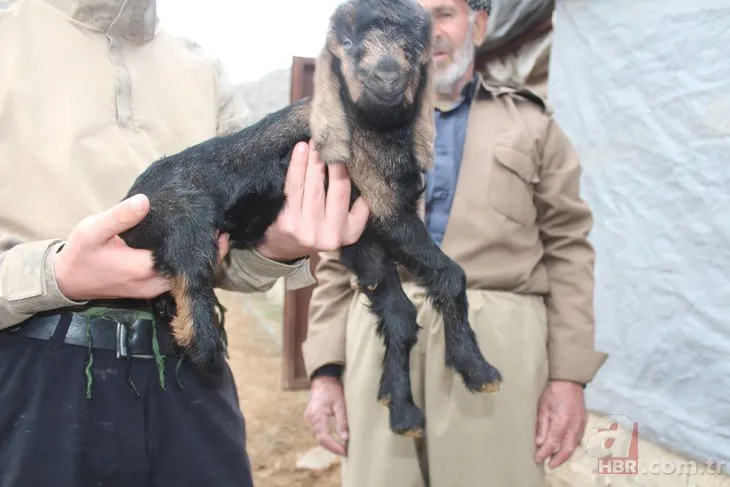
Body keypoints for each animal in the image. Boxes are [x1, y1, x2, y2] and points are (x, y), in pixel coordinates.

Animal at [122, 0, 504, 438]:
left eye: (411, 45)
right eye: (347, 42)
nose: (386, 77)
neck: (381, 130)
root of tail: (134, 198)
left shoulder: (365, 236)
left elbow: (399, 314)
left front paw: (402, 409)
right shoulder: (383, 204)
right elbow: (450, 275)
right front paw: (479, 370)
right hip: (186, 221)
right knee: (190, 271)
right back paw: (202, 345)